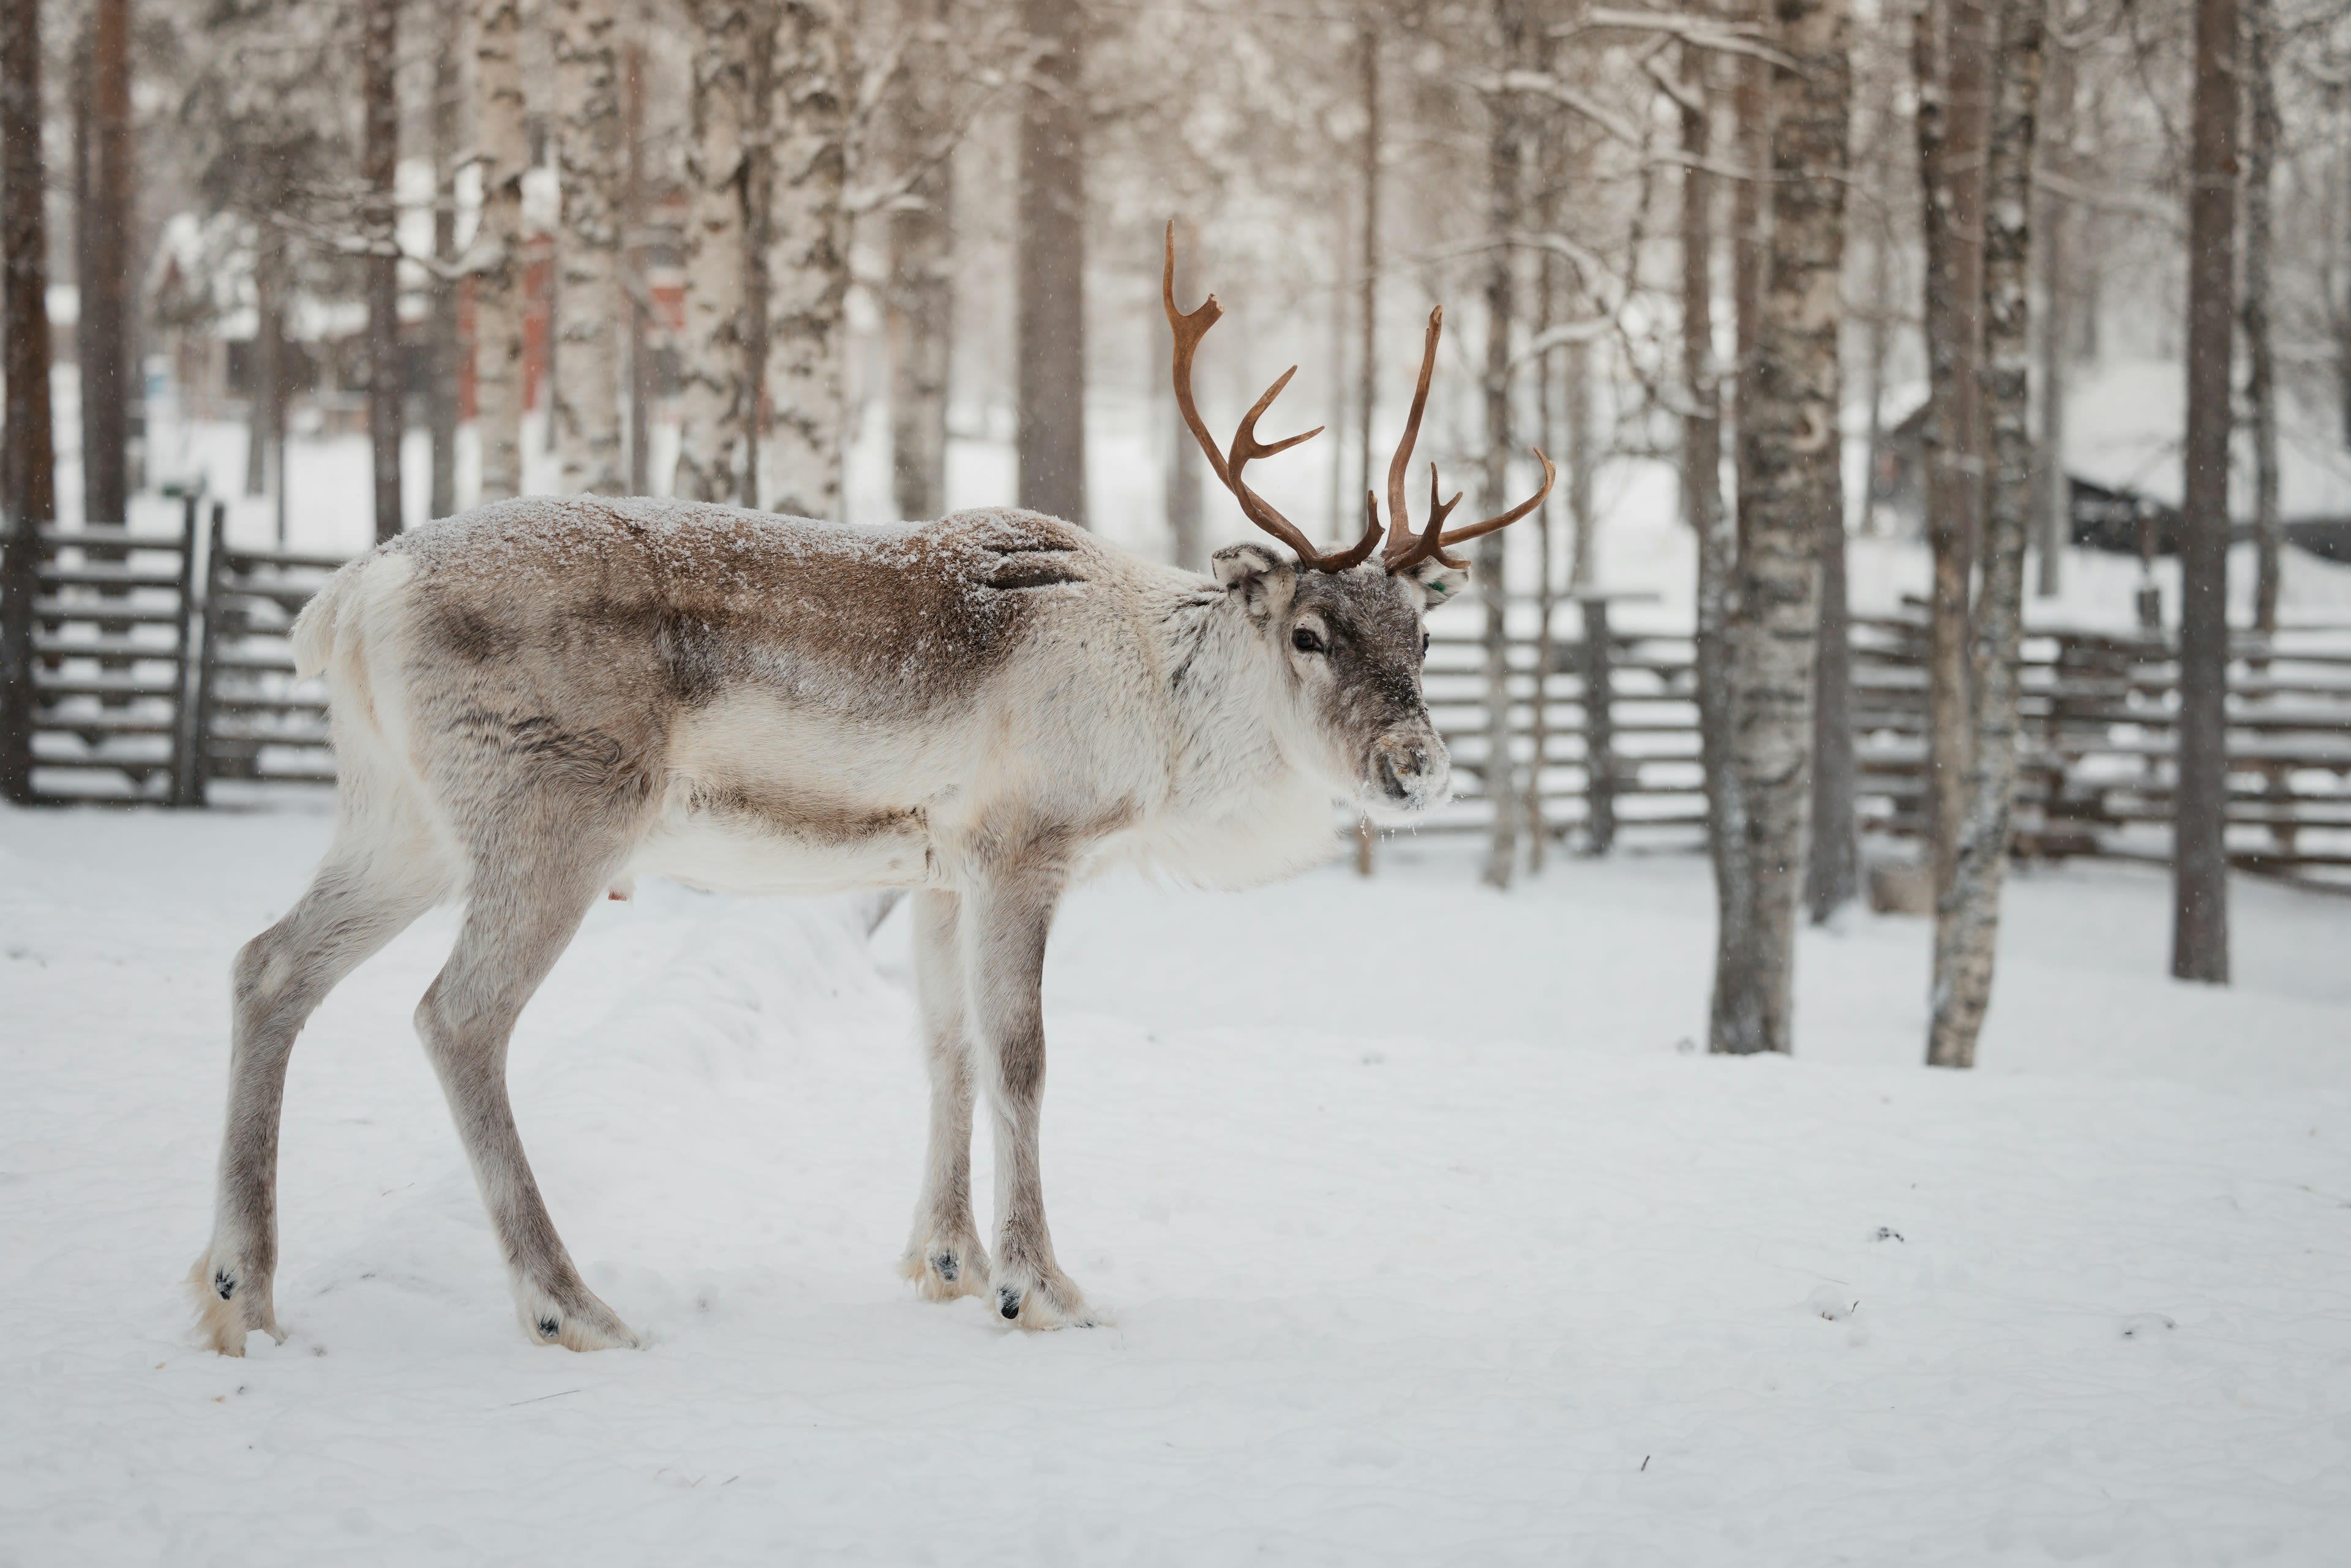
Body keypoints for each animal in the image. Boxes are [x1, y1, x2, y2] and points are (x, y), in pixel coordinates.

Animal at [189, 225, 1552, 1355]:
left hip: (400, 820)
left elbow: (944, 1047)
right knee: (457, 1015)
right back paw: (568, 1303)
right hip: (554, 813)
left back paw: (236, 1289)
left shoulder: (937, 867)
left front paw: (948, 1259)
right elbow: (1021, 1055)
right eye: (1311, 633)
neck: (1166, 721)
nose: (1418, 766)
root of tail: (349, 595)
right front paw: (1042, 1284)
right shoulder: (1023, 846)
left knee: (269, 963)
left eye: (1425, 630)